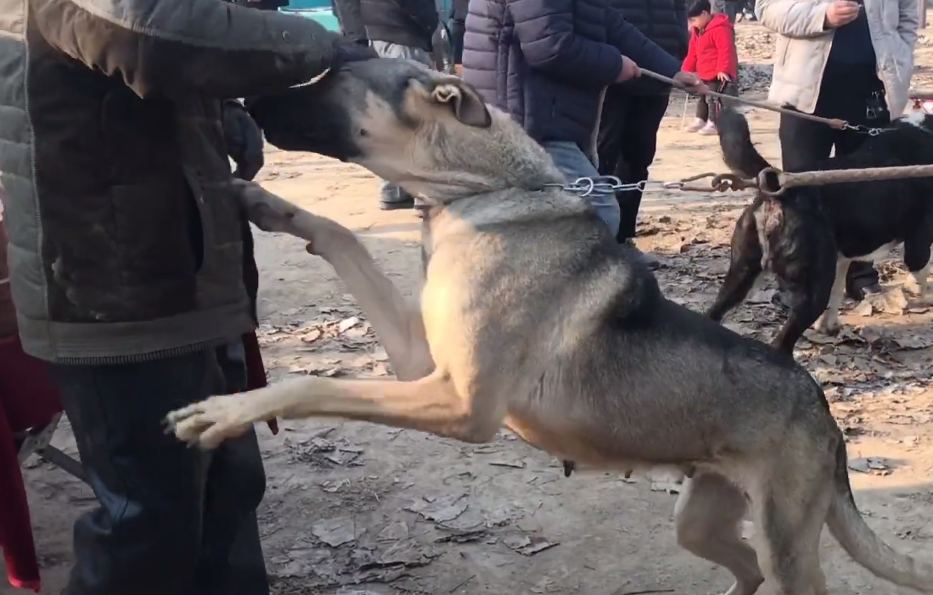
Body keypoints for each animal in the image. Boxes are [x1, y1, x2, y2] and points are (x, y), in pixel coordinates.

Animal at [166, 57, 932, 595]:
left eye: (335, 78)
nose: (242, 106)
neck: (481, 192)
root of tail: (825, 413)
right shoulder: (420, 361)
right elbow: (338, 234)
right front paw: (261, 201)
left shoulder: (460, 403)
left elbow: (306, 383)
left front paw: (223, 411)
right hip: (702, 518)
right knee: (742, 566)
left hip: (787, 544)